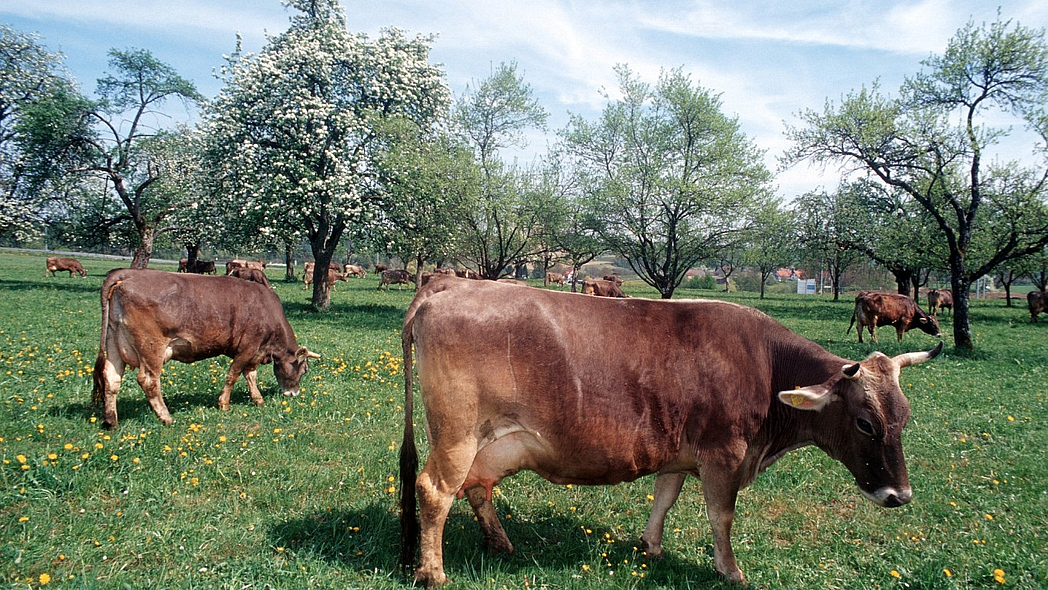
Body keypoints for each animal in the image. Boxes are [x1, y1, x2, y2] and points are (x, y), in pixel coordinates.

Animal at [90, 268, 318, 429]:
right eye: (304, 370)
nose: (293, 394)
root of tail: (128, 273)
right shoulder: (248, 347)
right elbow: (233, 374)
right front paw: (224, 403)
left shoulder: (254, 352)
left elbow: (250, 375)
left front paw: (258, 399)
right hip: (151, 347)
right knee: (149, 380)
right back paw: (166, 417)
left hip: (114, 342)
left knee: (111, 378)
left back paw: (110, 420)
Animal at [398, 278, 943, 586]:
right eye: (866, 422)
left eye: (904, 417)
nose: (899, 495)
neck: (767, 365)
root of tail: (448, 283)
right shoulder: (724, 455)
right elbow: (721, 517)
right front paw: (731, 572)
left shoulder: (679, 453)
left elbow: (665, 496)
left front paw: (652, 547)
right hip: (457, 434)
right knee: (435, 490)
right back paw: (433, 572)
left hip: (492, 443)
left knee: (477, 487)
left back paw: (499, 544)